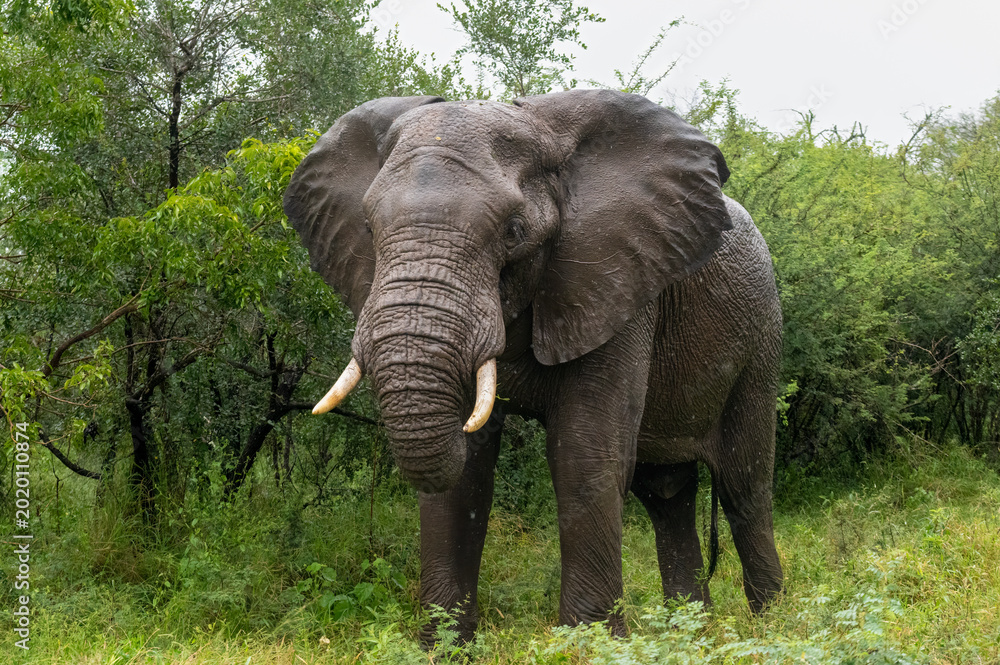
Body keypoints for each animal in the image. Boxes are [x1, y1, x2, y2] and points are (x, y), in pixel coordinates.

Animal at [283, 89, 783, 641]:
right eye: (369, 229)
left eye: (513, 231)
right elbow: (467, 474)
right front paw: (442, 647)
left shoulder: (615, 279)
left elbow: (584, 454)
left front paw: (589, 644)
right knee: (666, 492)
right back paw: (687, 634)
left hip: (761, 340)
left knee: (744, 485)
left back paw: (772, 625)